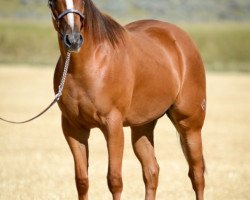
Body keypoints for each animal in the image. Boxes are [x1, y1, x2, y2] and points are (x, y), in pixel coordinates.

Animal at [47, 0, 206, 200]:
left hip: (190, 125)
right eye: (52, 3)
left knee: (197, 174)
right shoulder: (73, 128)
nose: (74, 40)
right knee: (151, 171)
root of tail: (182, 39)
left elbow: (114, 180)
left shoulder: (113, 126)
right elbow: (82, 181)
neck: (86, 67)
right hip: (142, 127)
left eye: (82, 2)